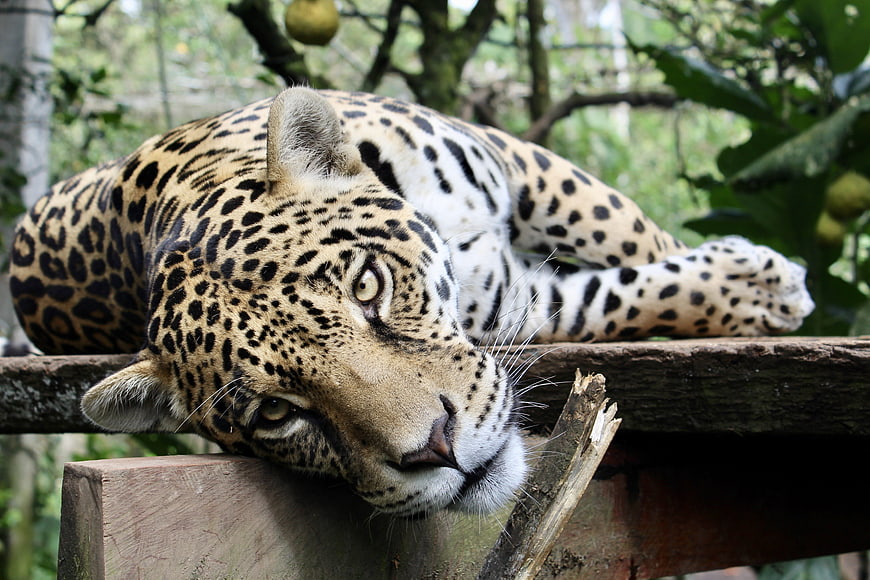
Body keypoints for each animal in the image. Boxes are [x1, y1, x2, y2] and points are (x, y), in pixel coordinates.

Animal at [9, 87, 814, 517]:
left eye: (367, 285)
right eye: (274, 413)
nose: (436, 451)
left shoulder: (519, 160)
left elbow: (626, 230)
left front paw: (767, 284)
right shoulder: (519, 298)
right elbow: (621, 295)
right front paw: (755, 288)